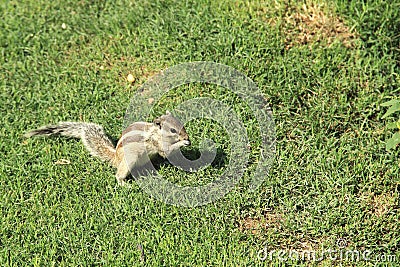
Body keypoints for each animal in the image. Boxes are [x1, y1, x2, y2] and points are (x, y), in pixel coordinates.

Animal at [25, 111, 191, 186]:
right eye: (173, 130)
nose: (186, 136)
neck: (155, 132)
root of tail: (115, 157)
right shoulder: (157, 144)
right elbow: (166, 150)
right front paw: (183, 143)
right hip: (128, 162)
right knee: (119, 174)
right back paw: (124, 184)